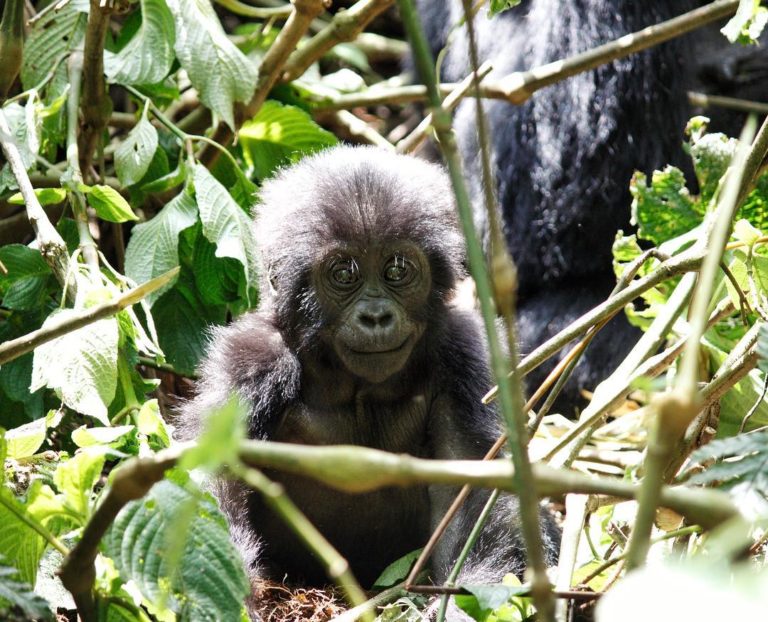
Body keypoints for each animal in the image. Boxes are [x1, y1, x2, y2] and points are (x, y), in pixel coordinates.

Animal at [181, 146, 560, 615]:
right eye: (344, 274)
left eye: (397, 270)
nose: (376, 317)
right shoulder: (252, 359)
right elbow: (214, 486)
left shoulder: (463, 353)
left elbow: (473, 491)